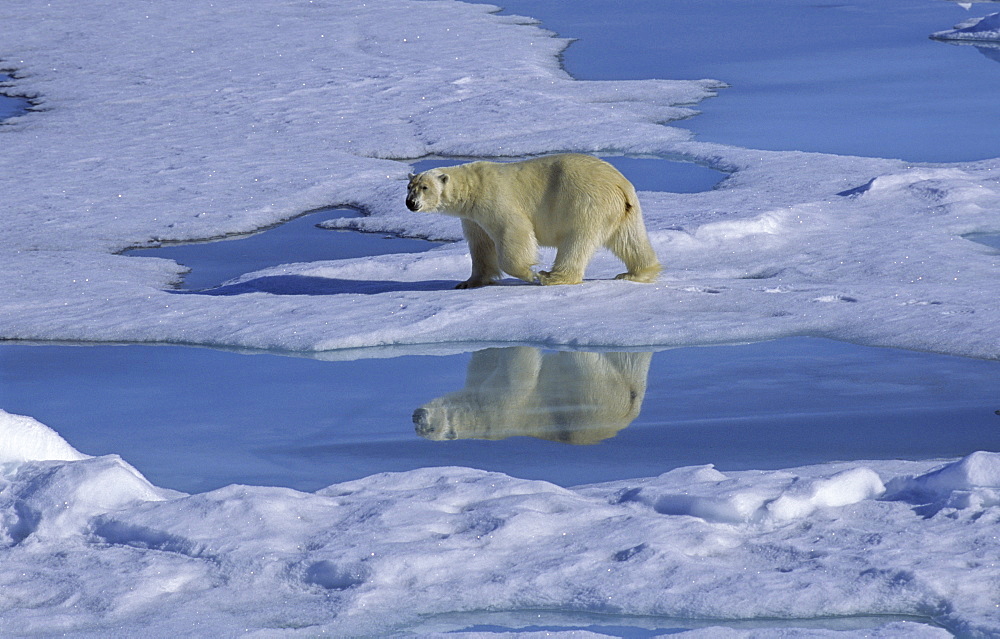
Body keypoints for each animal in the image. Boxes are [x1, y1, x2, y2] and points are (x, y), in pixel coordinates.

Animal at [402, 153, 660, 288]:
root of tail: (619, 184)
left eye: (425, 187)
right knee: (630, 239)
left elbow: (513, 230)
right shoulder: (473, 218)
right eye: (409, 186)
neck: (473, 186)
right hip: (624, 211)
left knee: (577, 241)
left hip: (585, 203)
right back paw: (636, 273)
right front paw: (469, 282)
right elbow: (481, 245)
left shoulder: (495, 199)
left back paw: (552, 277)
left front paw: (529, 273)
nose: (410, 203)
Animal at [410, 350, 652, 444]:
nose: (416, 416)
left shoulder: (500, 409)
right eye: (421, 430)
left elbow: (517, 373)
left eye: (430, 429)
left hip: (595, 392)